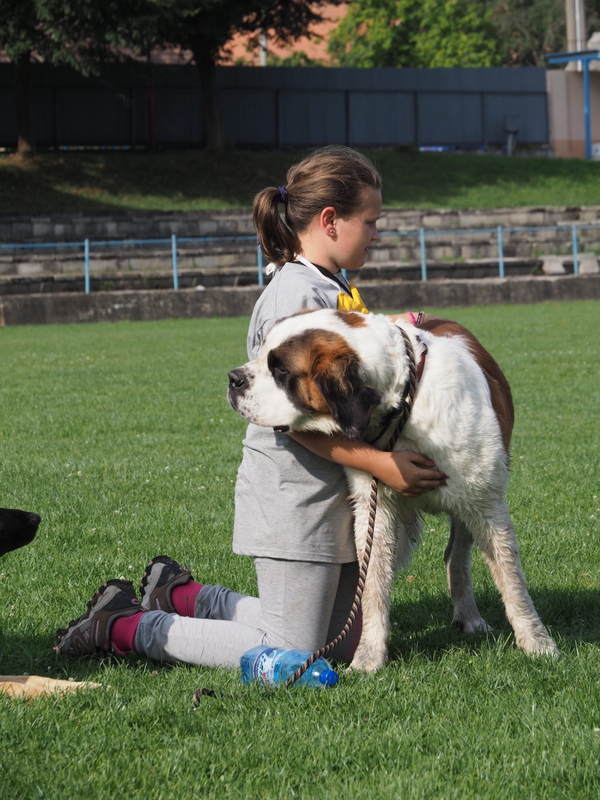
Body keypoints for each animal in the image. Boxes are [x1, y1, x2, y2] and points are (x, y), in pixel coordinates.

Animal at [228, 309, 558, 671]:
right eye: (261, 354)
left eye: (281, 370)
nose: (233, 378)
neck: (405, 404)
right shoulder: (376, 504)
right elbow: (373, 584)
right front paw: (369, 656)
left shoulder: (486, 502)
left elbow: (511, 577)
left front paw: (538, 643)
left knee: (458, 556)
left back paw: (469, 615)